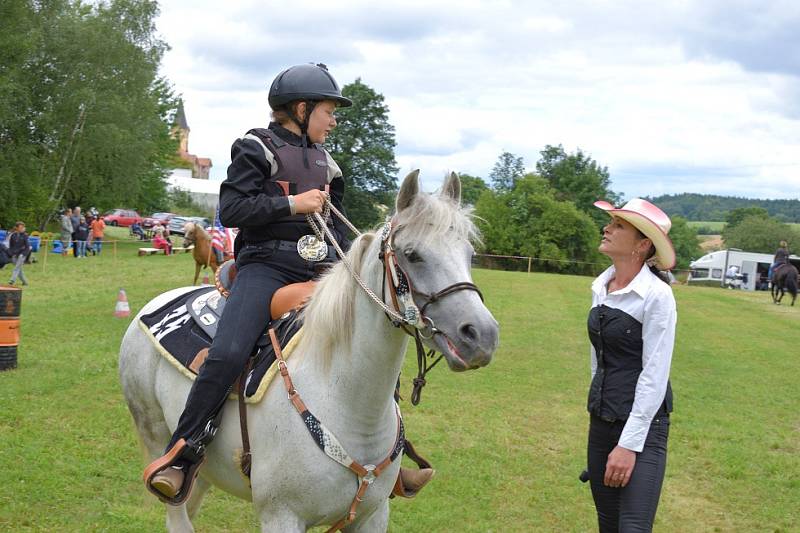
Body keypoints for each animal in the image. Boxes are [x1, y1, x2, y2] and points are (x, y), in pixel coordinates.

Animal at [119, 171, 496, 532]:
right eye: (413, 254)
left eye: (469, 255)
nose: (482, 335)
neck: (346, 401)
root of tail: (153, 305)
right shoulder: (282, 516)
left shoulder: (372, 516)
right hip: (155, 435)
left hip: (206, 471)